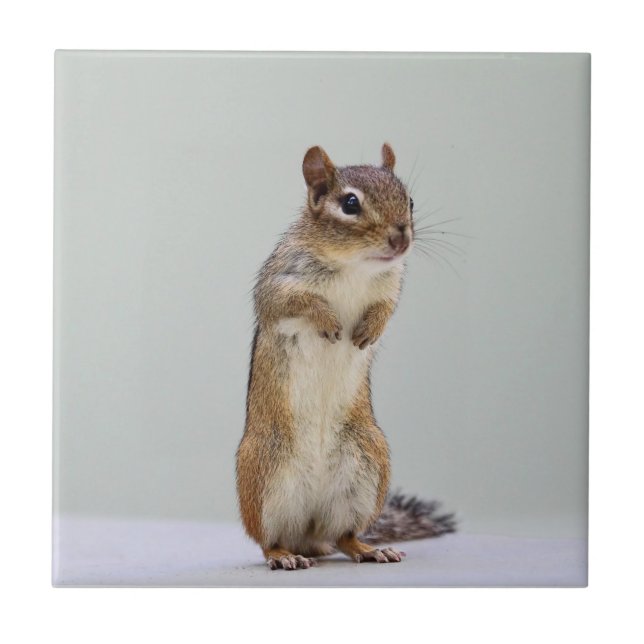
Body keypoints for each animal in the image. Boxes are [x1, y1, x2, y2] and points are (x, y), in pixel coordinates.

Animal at [236, 144, 455, 570]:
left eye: (410, 200)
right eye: (350, 203)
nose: (401, 237)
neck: (354, 265)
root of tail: (308, 534)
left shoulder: (390, 287)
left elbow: (385, 310)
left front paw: (369, 330)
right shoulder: (279, 280)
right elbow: (291, 301)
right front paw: (327, 319)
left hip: (367, 466)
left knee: (344, 535)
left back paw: (370, 548)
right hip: (263, 473)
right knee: (268, 539)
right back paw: (283, 556)